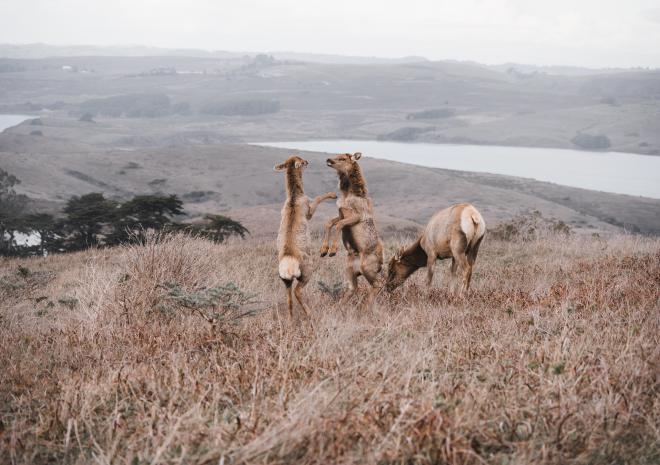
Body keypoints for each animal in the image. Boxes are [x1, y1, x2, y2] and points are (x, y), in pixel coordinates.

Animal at [274, 156, 338, 320]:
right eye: (301, 160)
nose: (307, 161)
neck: (293, 198)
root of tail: (288, 265)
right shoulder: (309, 211)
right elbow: (318, 198)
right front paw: (333, 194)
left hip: (286, 282)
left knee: (289, 299)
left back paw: (291, 320)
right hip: (307, 273)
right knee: (297, 291)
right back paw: (310, 314)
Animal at [322, 151, 384, 308]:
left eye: (343, 158)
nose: (328, 159)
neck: (348, 194)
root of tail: (380, 264)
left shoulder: (355, 216)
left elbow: (339, 225)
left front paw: (332, 251)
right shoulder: (340, 213)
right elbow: (329, 223)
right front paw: (323, 250)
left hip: (368, 269)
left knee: (378, 284)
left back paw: (366, 308)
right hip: (350, 271)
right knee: (352, 288)